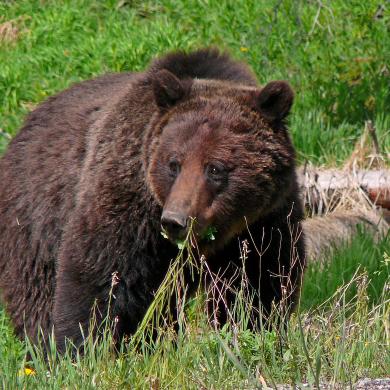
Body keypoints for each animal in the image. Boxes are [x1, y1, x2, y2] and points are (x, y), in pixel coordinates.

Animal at [0, 48, 304, 350]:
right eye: (174, 164)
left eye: (215, 168)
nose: (175, 221)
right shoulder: (132, 205)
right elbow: (100, 276)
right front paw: (79, 347)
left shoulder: (263, 222)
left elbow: (259, 282)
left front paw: (254, 330)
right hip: (35, 220)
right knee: (37, 290)